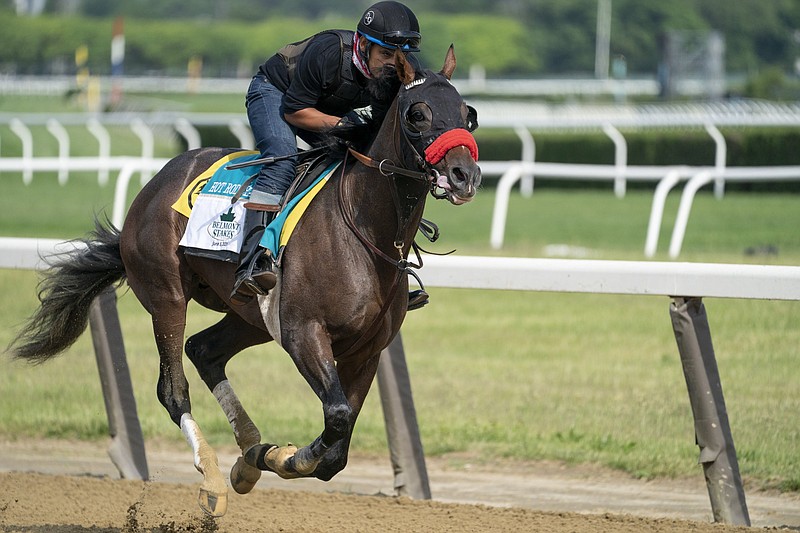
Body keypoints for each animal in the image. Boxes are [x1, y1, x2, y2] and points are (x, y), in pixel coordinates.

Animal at [7, 46, 482, 516]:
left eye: (468, 113)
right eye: (417, 114)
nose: (466, 175)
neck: (363, 230)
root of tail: (157, 182)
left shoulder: (367, 350)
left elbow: (338, 451)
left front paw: (267, 456)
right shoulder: (303, 332)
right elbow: (336, 418)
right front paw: (285, 457)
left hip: (249, 315)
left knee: (204, 351)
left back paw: (248, 457)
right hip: (167, 296)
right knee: (172, 388)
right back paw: (214, 479)